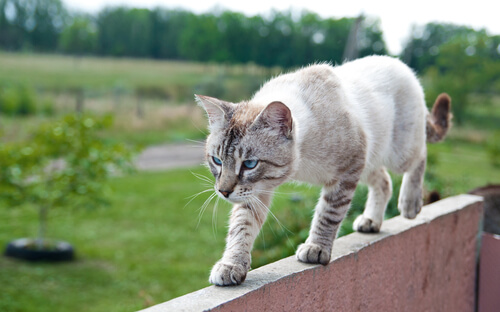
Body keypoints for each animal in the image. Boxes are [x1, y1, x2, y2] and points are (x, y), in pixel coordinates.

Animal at [194, 55, 450, 286]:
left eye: (249, 164)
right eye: (217, 161)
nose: (223, 192)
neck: (302, 163)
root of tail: (400, 64)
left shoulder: (346, 171)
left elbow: (328, 214)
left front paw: (315, 248)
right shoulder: (256, 191)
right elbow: (241, 227)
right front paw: (231, 265)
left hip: (397, 153)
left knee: (421, 155)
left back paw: (410, 204)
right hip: (369, 162)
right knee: (385, 181)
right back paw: (370, 221)